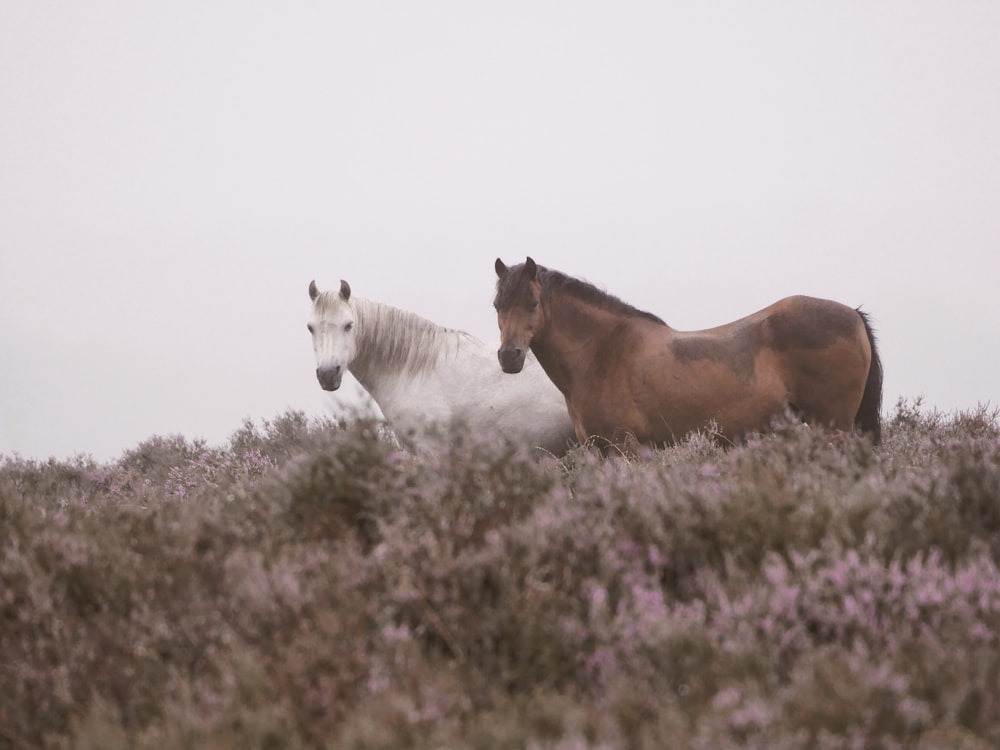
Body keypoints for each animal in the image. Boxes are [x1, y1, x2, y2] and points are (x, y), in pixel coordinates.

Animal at [492, 258, 884, 452]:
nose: (509, 356)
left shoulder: (626, 449)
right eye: (497, 304)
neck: (601, 351)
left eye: (533, 302)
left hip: (834, 428)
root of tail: (853, 315)